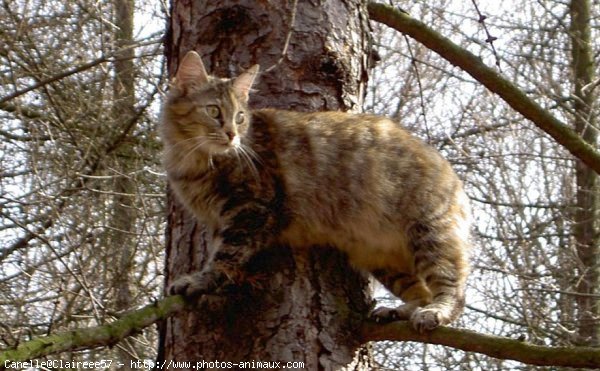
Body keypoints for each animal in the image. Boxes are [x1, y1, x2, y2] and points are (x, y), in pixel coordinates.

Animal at [162, 50, 472, 332]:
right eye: (214, 111)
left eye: (239, 117)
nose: (231, 135)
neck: (192, 160)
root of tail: (450, 171)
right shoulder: (221, 219)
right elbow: (220, 252)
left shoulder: (252, 210)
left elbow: (224, 256)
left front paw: (201, 280)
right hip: (384, 259)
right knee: (421, 292)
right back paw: (397, 312)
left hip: (429, 235)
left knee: (452, 291)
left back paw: (434, 312)